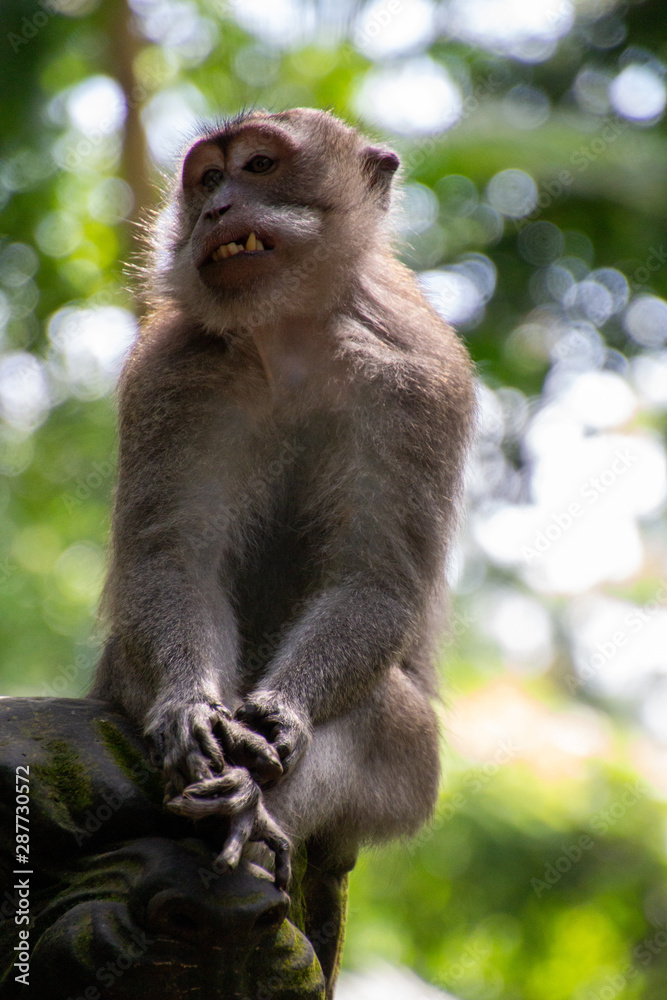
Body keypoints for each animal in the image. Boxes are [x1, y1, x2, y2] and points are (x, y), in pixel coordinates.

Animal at [90, 107, 475, 895]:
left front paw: (280, 719)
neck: (289, 335)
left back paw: (248, 806)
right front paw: (190, 710)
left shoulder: (419, 381)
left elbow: (373, 583)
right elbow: (174, 563)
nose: (217, 209)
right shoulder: (171, 376)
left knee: (383, 715)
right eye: (209, 178)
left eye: (260, 166)